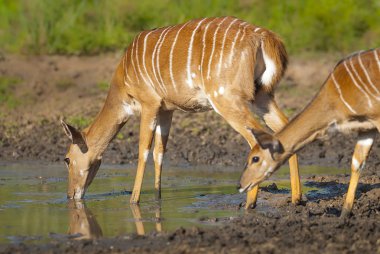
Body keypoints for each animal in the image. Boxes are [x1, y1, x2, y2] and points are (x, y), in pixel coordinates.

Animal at [60, 15, 302, 208]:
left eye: (67, 159)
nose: (71, 195)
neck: (122, 84)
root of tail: (264, 37)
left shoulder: (149, 103)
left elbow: (143, 150)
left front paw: (134, 200)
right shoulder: (166, 110)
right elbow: (159, 152)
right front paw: (157, 197)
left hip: (226, 98)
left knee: (256, 139)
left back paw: (250, 204)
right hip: (262, 95)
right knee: (284, 127)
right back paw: (296, 198)